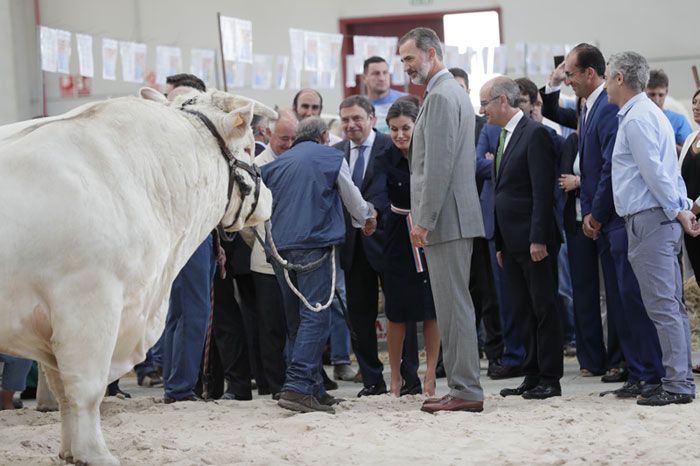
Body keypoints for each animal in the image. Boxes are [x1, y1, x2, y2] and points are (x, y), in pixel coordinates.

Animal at [0, 86, 274, 462]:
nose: (271, 198)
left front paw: (70, 452)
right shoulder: (88, 303)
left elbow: (62, 390)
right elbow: (86, 389)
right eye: (248, 147)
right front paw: (96, 454)